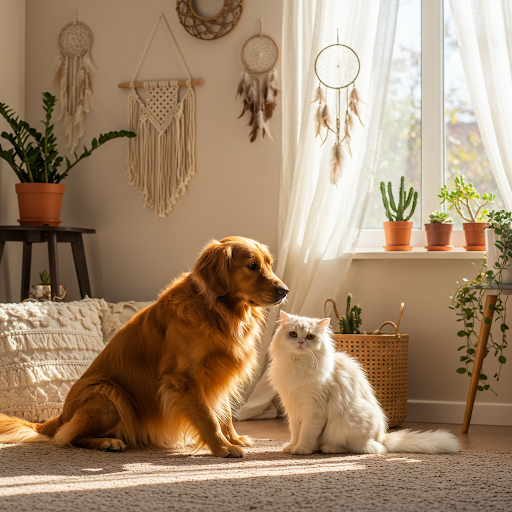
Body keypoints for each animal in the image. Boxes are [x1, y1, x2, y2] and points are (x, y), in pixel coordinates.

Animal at [0, 238, 288, 458]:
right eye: (252, 266)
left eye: (268, 264)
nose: (284, 290)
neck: (216, 312)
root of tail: (58, 417)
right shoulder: (184, 381)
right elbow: (208, 418)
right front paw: (223, 448)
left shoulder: (218, 373)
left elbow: (224, 414)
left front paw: (234, 439)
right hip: (108, 393)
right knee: (67, 436)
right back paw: (107, 442)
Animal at [268, 312, 460, 456]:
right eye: (293, 334)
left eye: (310, 336)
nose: (301, 342)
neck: (297, 365)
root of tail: (381, 437)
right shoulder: (293, 409)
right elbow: (295, 432)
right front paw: (291, 447)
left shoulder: (313, 410)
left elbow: (306, 434)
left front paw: (301, 449)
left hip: (345, 421)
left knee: (364, 448)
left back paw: (327, 449)